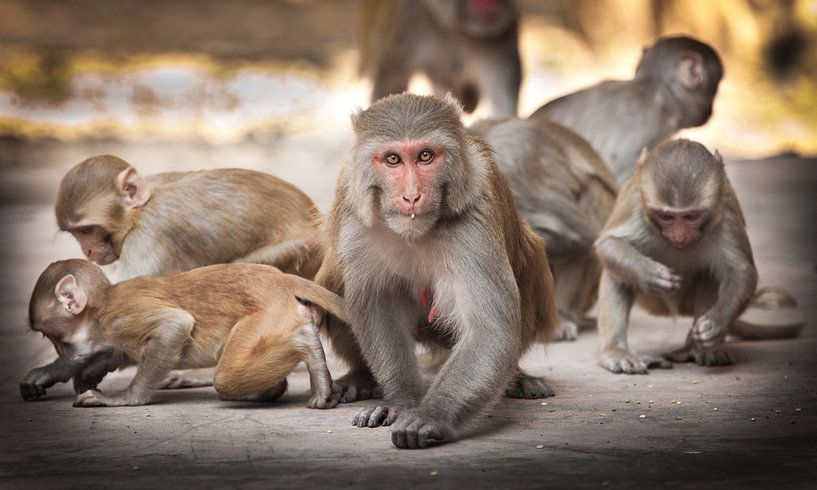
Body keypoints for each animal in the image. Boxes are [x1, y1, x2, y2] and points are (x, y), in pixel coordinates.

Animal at [21, 155, 324, 400]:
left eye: (88, 230)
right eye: (77, 233)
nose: (89, 250)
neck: (139, 209)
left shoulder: (148, 233)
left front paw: (61, 367)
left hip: (300, 253)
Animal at [23, 260, 347, 408]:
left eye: (54, 337)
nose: (61, 352)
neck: (103, 301)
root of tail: (280, 279)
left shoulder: (117, 319)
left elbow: (173, 325)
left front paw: (126, 398)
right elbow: (117, 352)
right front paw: (56, 371)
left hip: (266, 317)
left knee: (226, 377)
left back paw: (307, 347)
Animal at [316, 93, 558, 449]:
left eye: (426, 156)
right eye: (392, 159)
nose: (412, 196)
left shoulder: (474, 214)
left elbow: (489, 329)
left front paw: (432, 416)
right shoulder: (354, 218)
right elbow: (378, 308)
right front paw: (401, 401)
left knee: (530, 258)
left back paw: (519, 379)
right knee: (334, 276)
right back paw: (360, 378)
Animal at [594, 139, 757, 374]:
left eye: (691, 216)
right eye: (666, 216)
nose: (679, 236)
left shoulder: (725, 211)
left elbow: (741, 272)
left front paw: (716, 325)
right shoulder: (636, 205)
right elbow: (608, 244)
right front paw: (648, 274)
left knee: (711, 273)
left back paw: (696, 349)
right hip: (652, 301)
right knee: (615, 274)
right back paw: (617, 352)